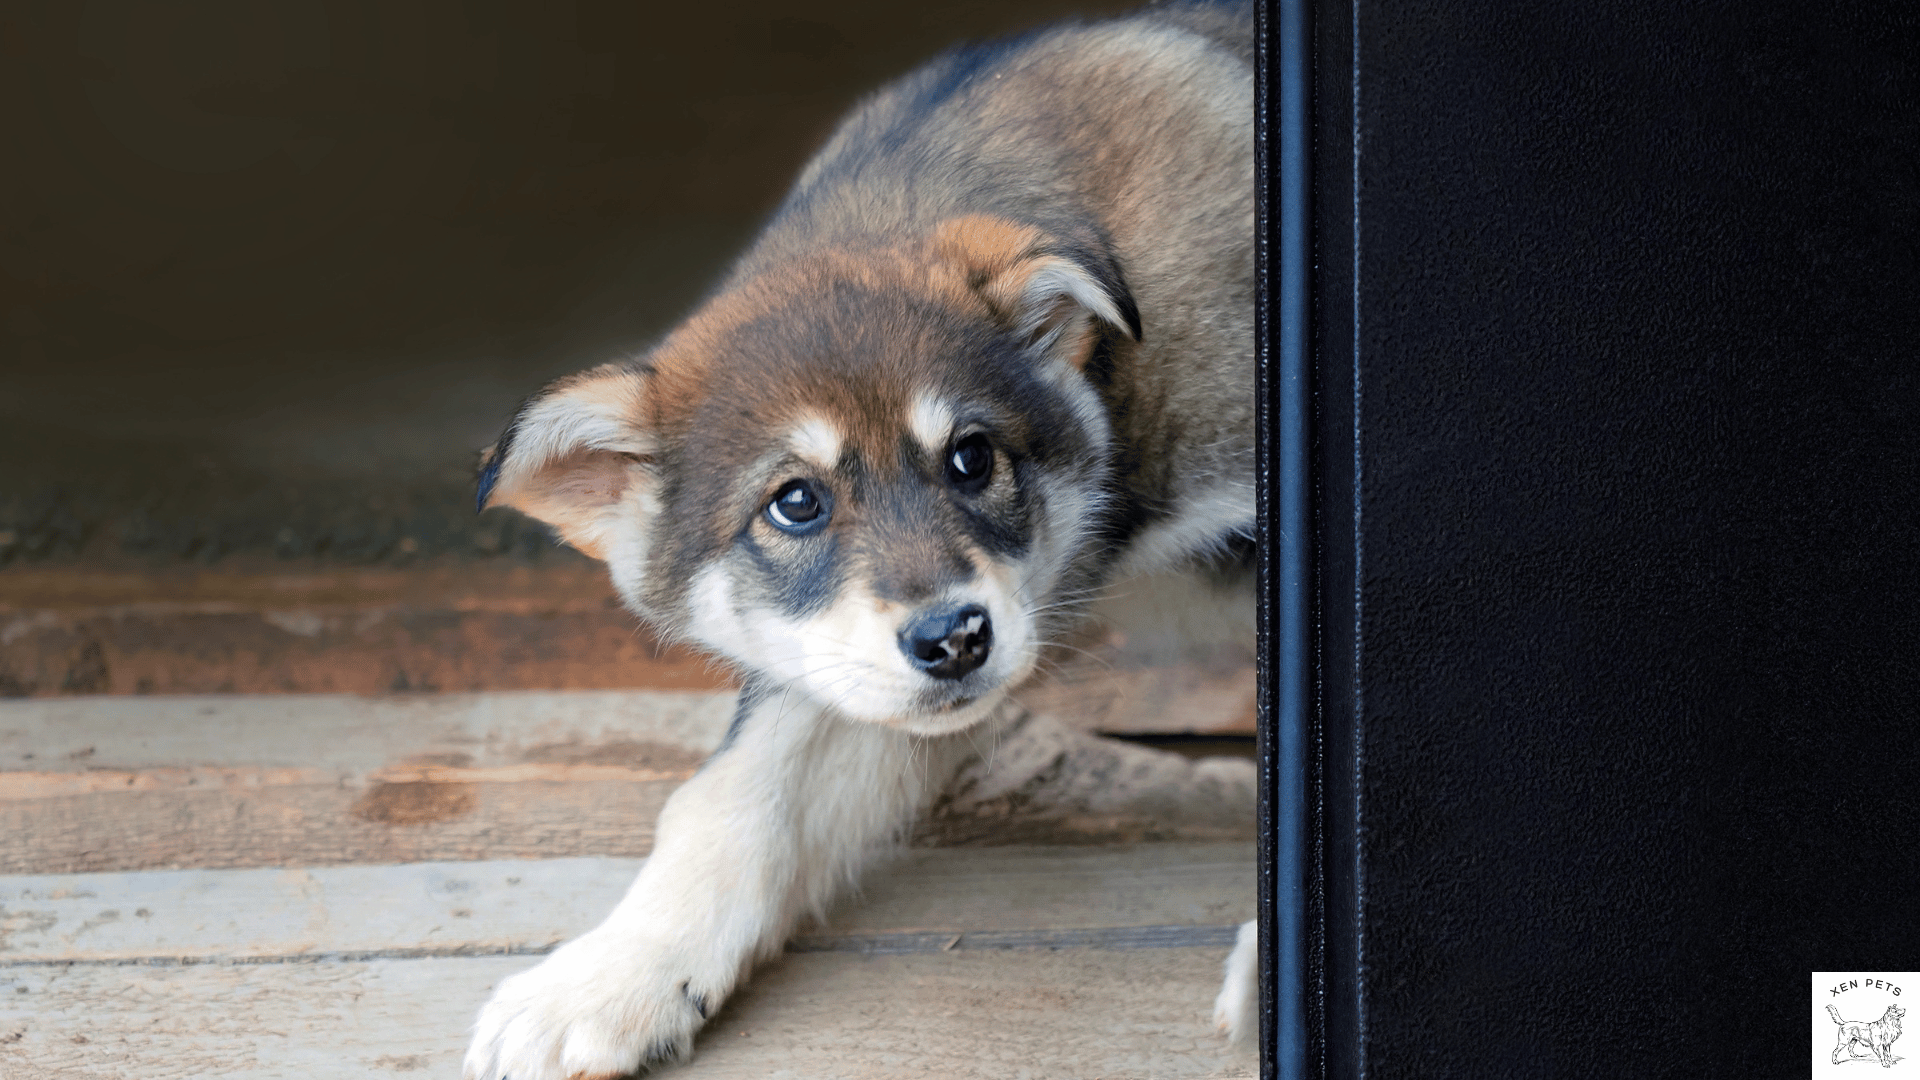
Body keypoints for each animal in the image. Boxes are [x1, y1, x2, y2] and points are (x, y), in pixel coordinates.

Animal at [468, 4, 1259, 1068]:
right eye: (795, 503)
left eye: (972, 457)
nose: (954, 641)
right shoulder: (843, 672)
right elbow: (733, 793)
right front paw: (612, 976)